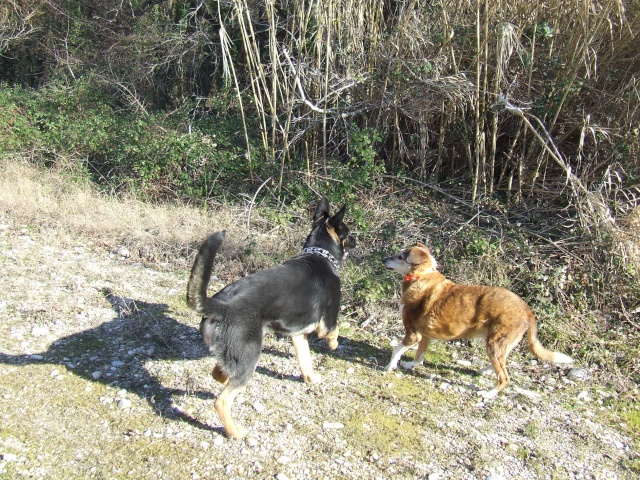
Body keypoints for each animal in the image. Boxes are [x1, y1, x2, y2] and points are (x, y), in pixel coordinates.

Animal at [186, 196, 356, 438]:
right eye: (348, 233)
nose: (356, 241)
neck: (318, 254)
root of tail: (221, 306)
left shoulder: (299, 335)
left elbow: (305, 361)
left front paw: (311, 379)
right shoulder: (326, 323)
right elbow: (334, 331)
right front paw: (333, 345)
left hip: (237, 355)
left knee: (219, 373)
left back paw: (226, 379)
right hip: (250, 355)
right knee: (222, 400)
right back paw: (234, 431)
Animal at [382, 244, 572, 398]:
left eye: (400, 256)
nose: (383, 259)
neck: (420, 276)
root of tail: (528, 311)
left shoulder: (413, 334)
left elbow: (397, 350)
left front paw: (390, 366)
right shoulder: (425, 336)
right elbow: (419, 355)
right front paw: (411, 365)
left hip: (494, 344)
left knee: (504, 377)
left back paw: (488, 394)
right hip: (498, 346)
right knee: (502, 364)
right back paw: (484, 371)